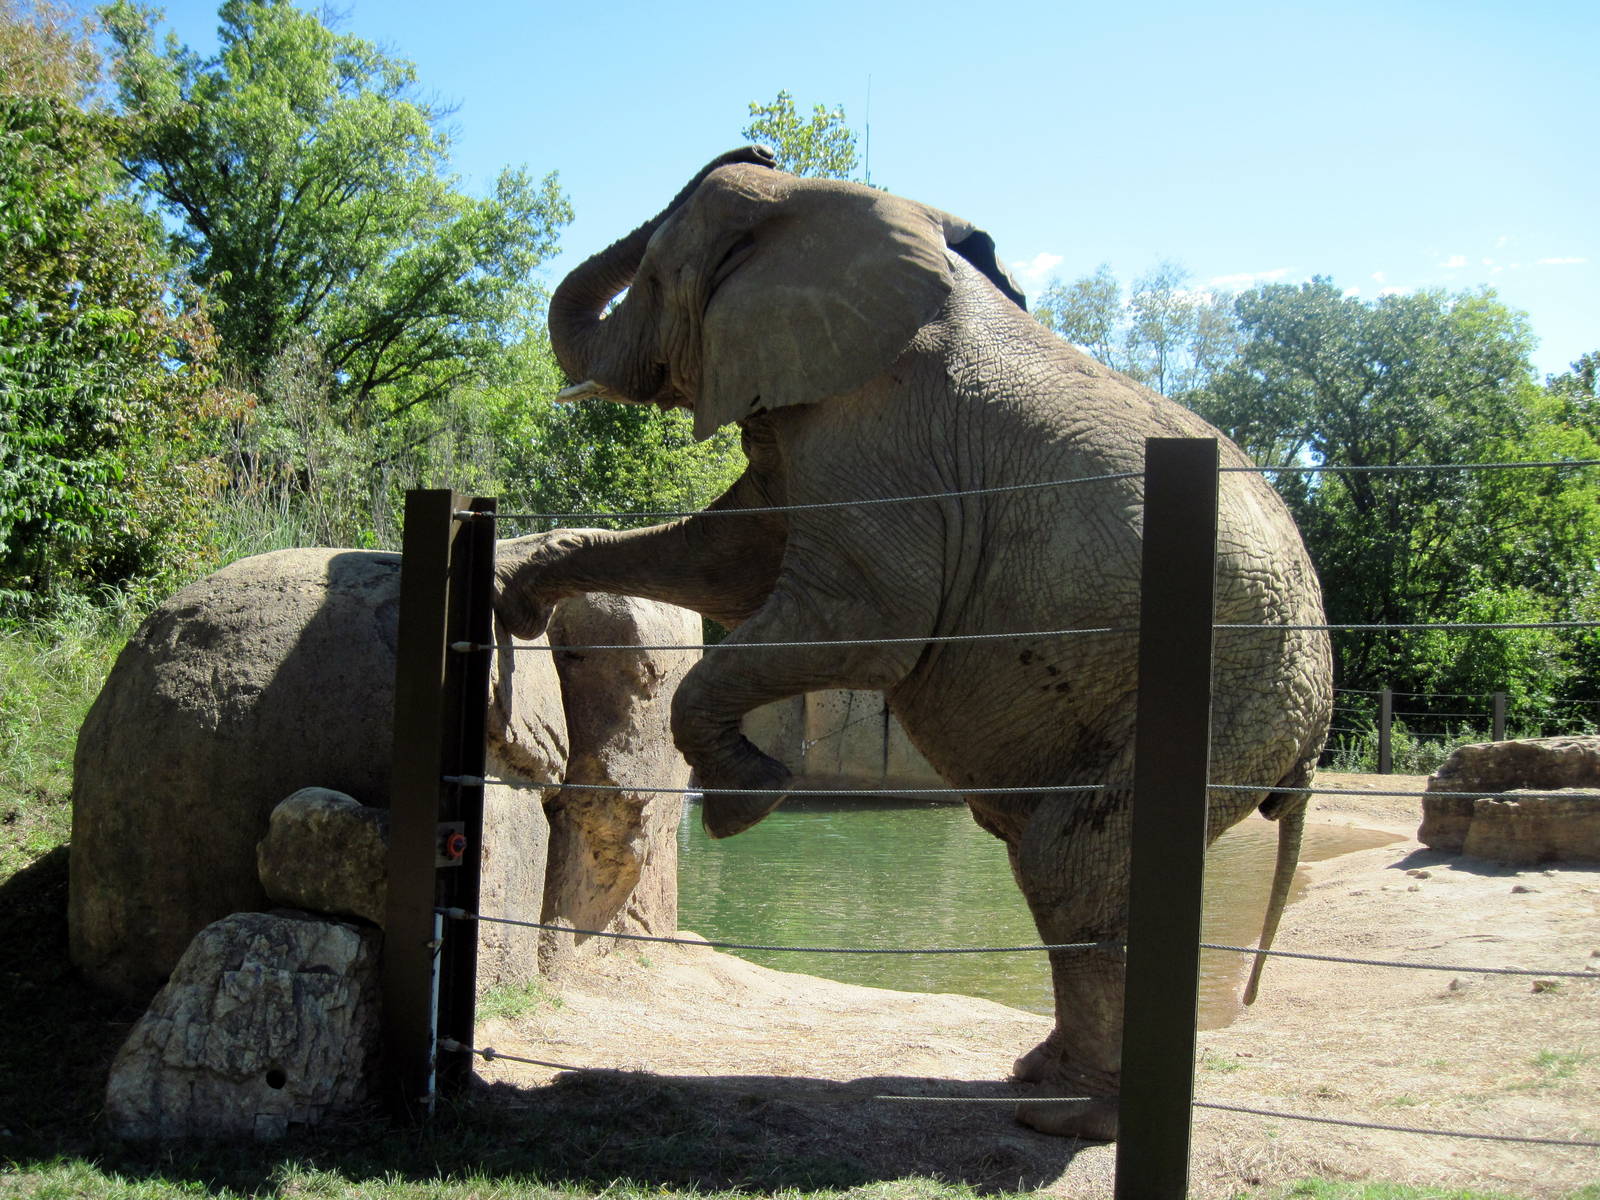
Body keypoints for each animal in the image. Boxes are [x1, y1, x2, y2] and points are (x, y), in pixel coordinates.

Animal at [495, 146, 1333, 1141]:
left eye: (656, 278)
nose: (754, 149)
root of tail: (1316, 726)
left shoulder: (881, 438)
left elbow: (858, 618)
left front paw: (747, 804)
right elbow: (725, 558)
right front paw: (513, 594)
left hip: (1220, 702)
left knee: (1072, 868)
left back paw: (1070, 1118)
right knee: (1050, 852)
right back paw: (1040, 1078)